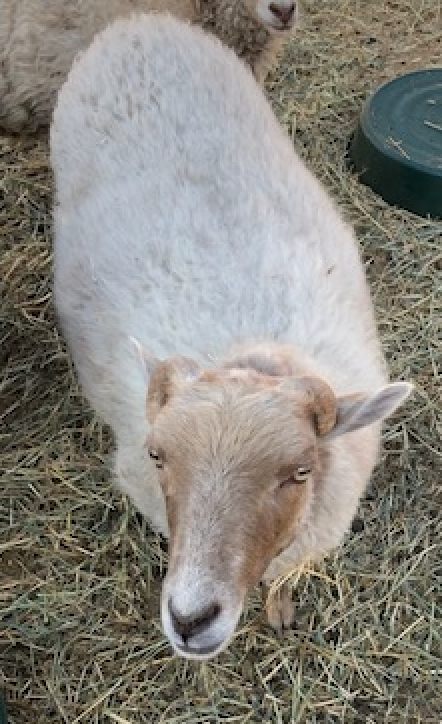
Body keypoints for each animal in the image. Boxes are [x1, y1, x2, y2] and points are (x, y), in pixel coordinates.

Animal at [51, 14, 413, 660]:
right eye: (157, 455)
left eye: (300, 472)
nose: (191, 618)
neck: (254, 347)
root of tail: (141, 23)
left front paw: (281, 608)